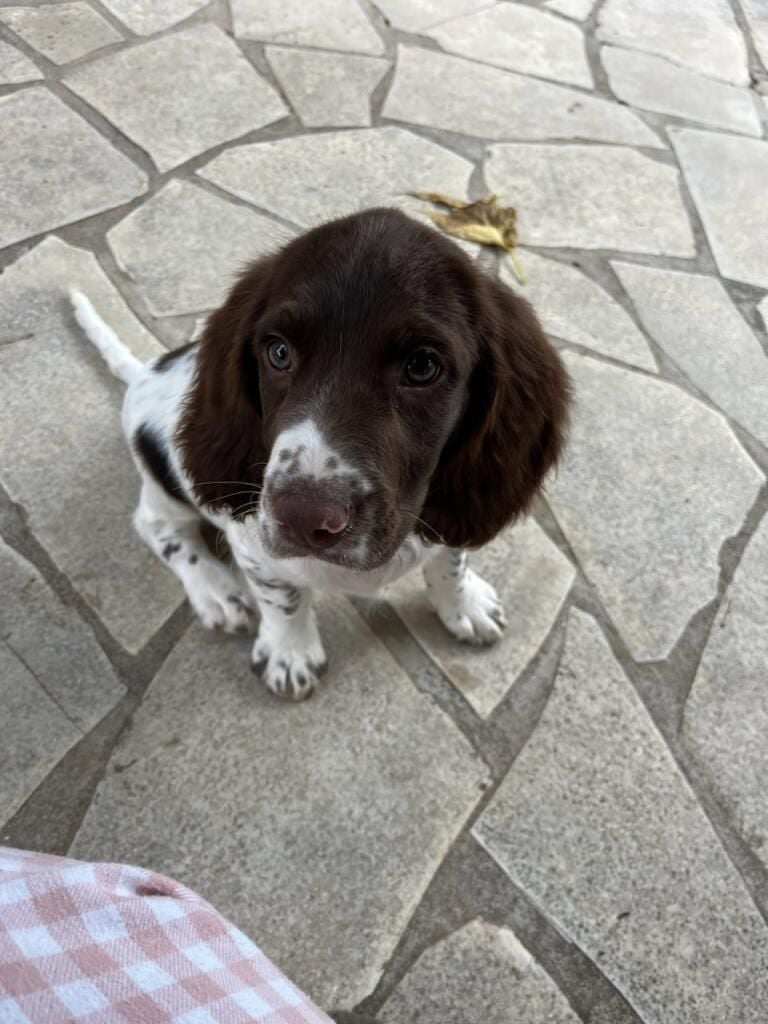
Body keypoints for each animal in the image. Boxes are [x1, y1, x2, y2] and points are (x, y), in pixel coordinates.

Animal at [72, 207, 569, 704]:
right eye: (278, 353)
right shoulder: (255, 547)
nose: (304, 519)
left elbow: (450, 560)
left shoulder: (451, 510)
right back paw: (215, 591)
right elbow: (283, 597)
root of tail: (143, 374)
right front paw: (289, 654)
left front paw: (463, 605)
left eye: (423, 366)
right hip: (167, 484)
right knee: (157, 526)